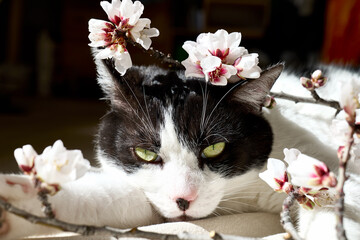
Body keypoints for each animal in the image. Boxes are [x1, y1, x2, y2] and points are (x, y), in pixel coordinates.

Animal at [0, 54, 360, 240]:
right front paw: (15, 202)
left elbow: (334, 205)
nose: (183, 199)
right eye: (146, 153)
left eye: (214, 149)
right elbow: (109, 198)